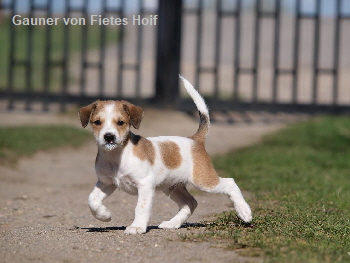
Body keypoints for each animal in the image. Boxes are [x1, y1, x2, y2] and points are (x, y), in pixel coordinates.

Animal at [78, 76, 252, 235]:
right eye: (97, 122)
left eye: (120, 122)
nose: (109, 137)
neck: (116, 156)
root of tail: (194, 139)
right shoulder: (106, 183)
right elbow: (92, 199)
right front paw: (104, 215)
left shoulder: (145, 185)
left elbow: (141, 208)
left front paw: (137, 227)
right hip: (173, 187)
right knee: (190, 203)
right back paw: (172, 224)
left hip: (203, 181)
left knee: (230, 183)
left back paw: (244, 212)